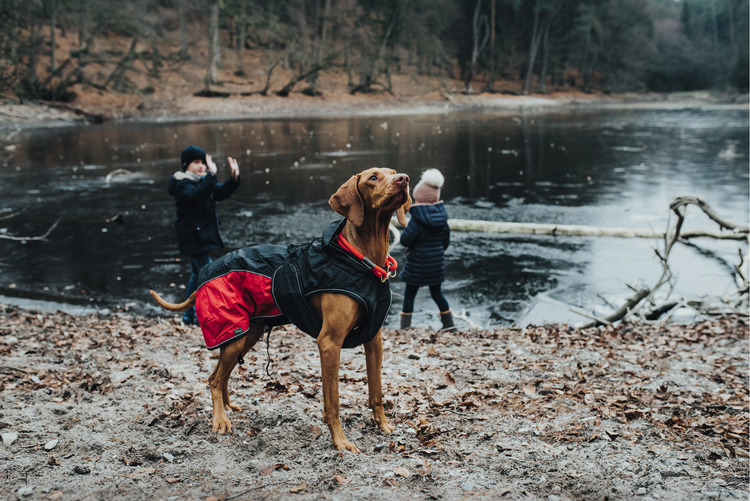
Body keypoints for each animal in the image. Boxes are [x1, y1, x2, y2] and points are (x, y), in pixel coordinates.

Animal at [151, 168, 412, 454]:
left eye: (391, 173)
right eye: (373, 178)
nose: (404, 178)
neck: (360, 262)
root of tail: (203, 277)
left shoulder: (374, 339)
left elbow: (376, 392)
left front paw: (383, 425)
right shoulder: (330, 343)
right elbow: (332, 403)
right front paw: (340, 442)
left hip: (247, 333)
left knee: (221, 374)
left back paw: (229, 407)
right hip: (232, 333)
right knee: (214, 379)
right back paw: (220, 420)